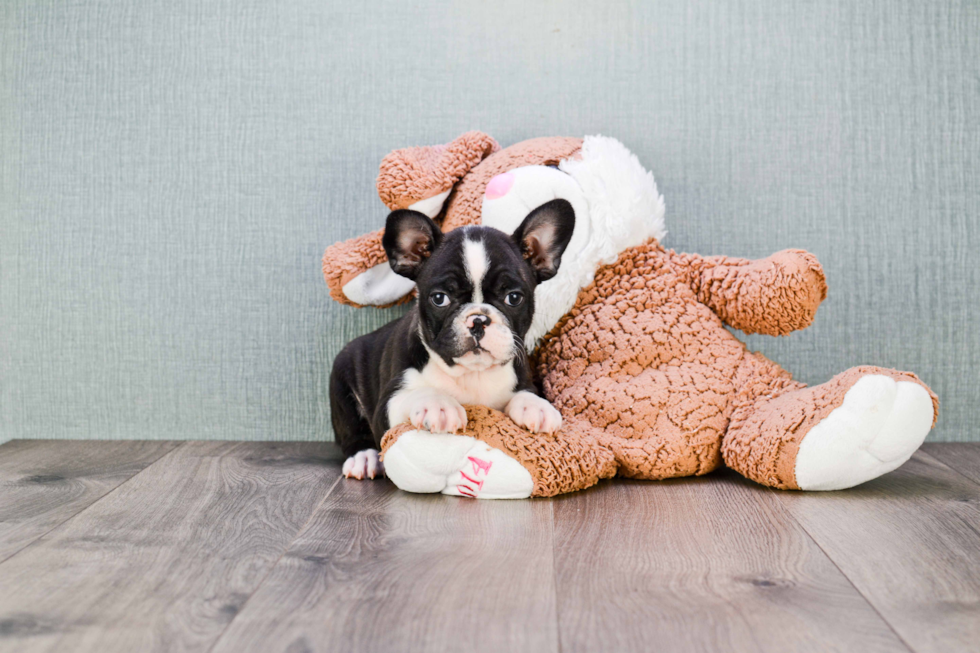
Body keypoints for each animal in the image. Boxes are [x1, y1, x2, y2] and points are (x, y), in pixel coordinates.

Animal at [330, 196, 576, 476]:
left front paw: (536, 406)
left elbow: (526, 392)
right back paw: (364, 458)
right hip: (341, 381)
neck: (472, 374)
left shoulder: (523, 378)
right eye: (440, 298)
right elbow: (416, 393)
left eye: (514, 297)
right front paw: (438, 405)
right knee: (353, 432)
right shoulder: (386, 406)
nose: (478, 319)